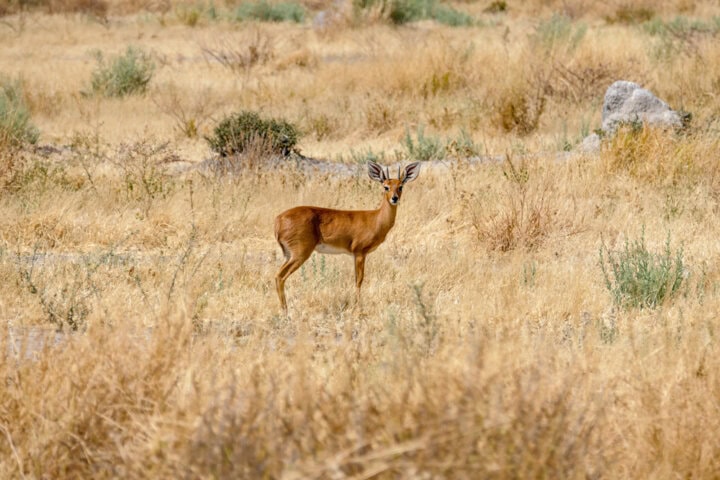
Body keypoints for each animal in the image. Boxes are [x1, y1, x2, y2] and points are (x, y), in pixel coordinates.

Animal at [274, 161, 421, 314]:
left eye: (400, 186)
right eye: (386, 187)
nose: (394, 198)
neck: (376, 219)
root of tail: (278, 220)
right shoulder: (360, 252)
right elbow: (359, 280)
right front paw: (358, 307)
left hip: (289, 254)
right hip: (300, 254)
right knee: (279, 276)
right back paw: (285, 312)